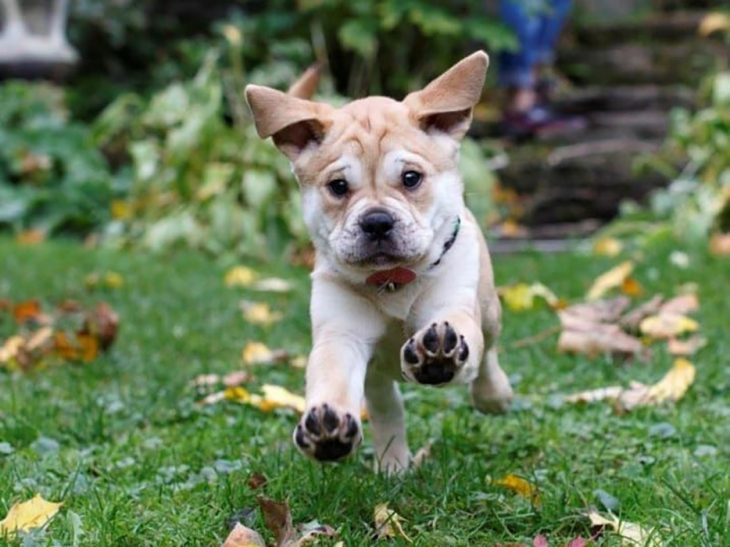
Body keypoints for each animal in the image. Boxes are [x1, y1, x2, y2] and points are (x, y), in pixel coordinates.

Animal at [245, 50, 512, 476]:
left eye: (411, 178)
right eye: (338, 186)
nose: (376, 221)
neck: (392, 280)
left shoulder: (454, 301)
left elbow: (462, 333)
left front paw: (439, 354)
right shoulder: (342, 334)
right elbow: (333, 378)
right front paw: (327, 427)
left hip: (489, 308)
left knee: (487, 353)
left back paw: (493, 395)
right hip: (376, 375)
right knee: (388, 406)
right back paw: (393, 464)